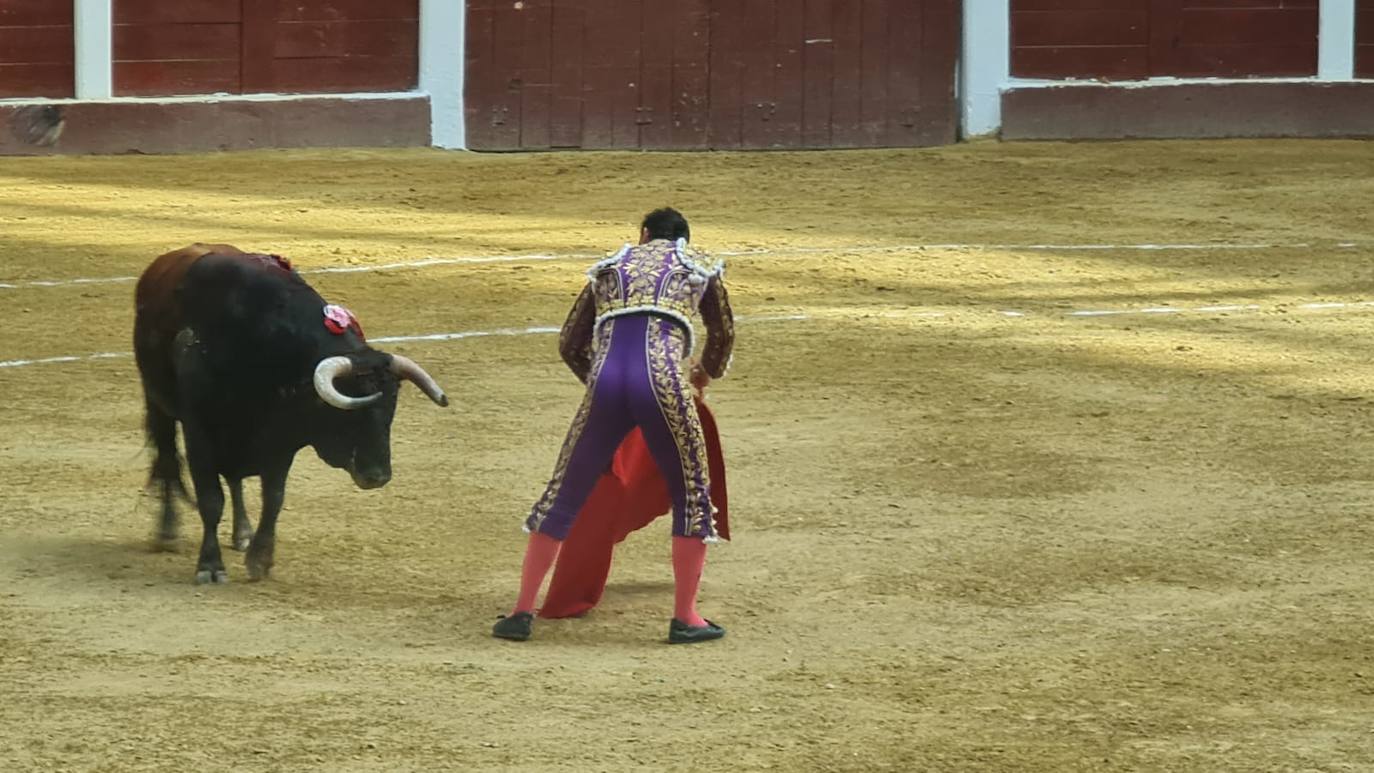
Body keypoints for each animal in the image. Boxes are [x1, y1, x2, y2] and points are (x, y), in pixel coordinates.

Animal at [133, 244, 447, 584]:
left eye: (391, 410)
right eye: (350, 413)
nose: (377, 476)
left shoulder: (280, 439)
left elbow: (274, 496)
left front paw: (260, 559)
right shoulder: (199, 431)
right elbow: (211, 499)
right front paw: (210, 566)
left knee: (233, 479)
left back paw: (242, 533)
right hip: (157, 404)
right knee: (167, 460)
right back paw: (167, 531)